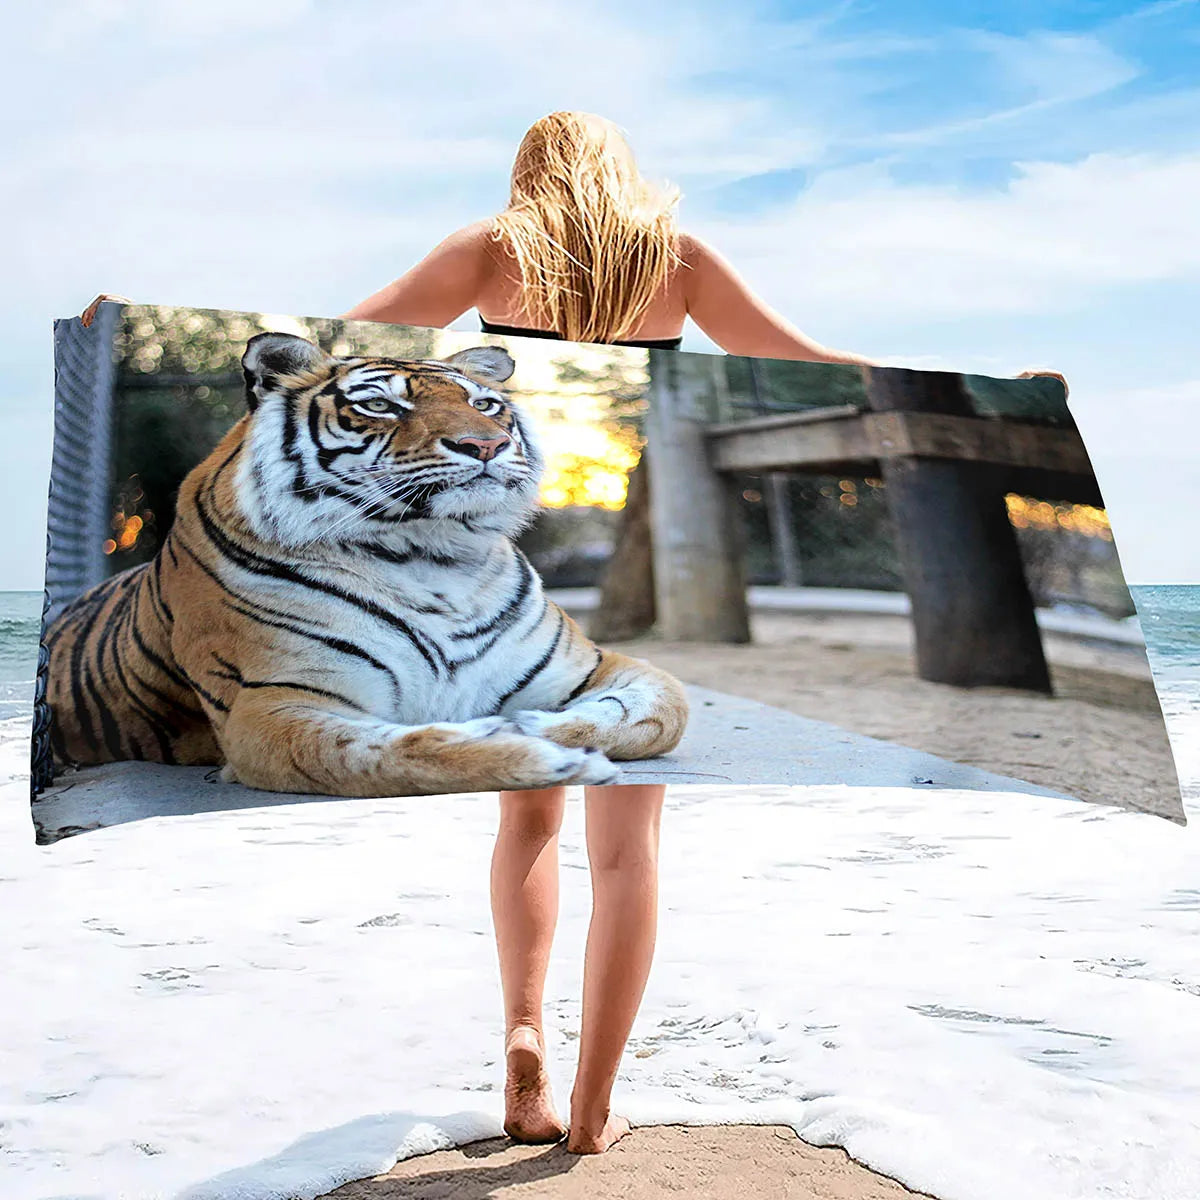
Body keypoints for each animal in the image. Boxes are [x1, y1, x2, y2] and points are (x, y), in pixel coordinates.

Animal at [44, 332, 688, 797]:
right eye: (379, 405)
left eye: (484, 405)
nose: (485, 445)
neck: (431, 555)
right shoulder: (273, 703)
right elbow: (394, 753)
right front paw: (550, 759)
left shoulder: (597, 667)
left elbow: (659, 715)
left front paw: (530, 726)